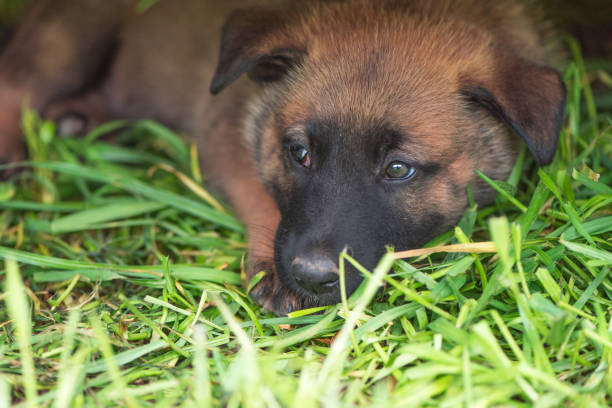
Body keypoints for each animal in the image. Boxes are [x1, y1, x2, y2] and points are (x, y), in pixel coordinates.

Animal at [0, 0, 564, 316]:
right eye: (300, 154)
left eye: (398, 169)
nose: (312, 277)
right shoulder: (224, 126)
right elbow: (259, 193)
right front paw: (271, 270)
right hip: (72, 32)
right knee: (20, 79)